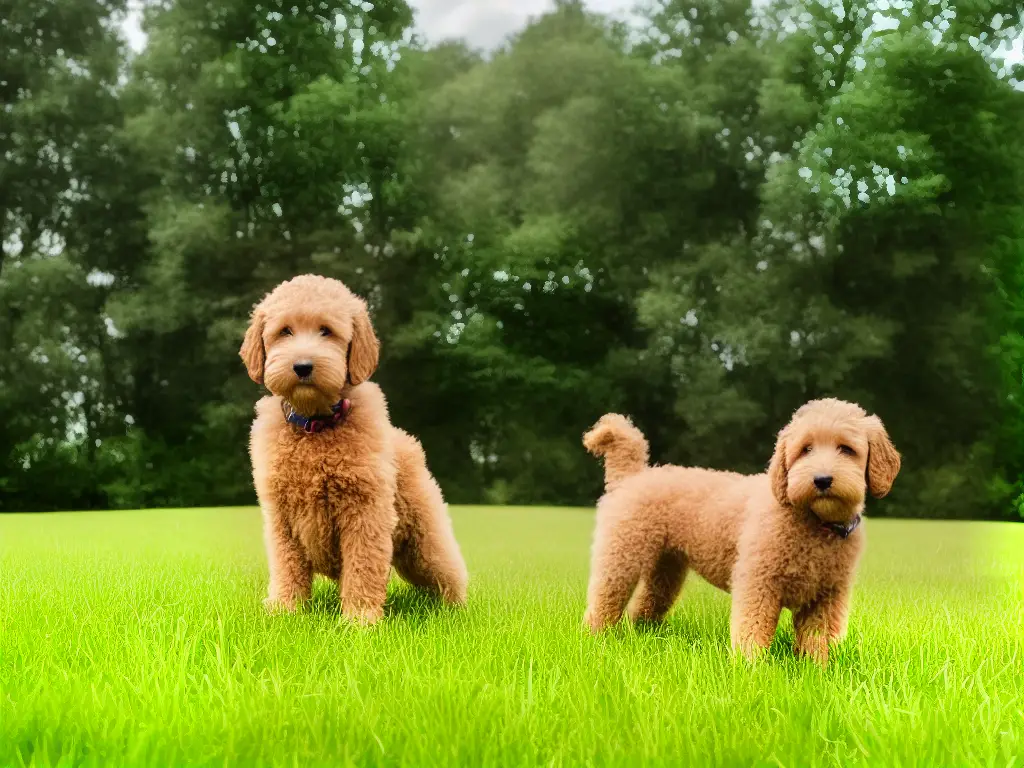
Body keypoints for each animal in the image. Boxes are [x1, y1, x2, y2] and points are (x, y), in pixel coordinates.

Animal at [239, 276, 468, 626]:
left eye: (326, 331)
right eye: (285, 331)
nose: (302, 366)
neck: (315, 426)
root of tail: (407, 441)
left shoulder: (365, 511)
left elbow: (363, 568)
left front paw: (359, 622)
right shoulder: (281, 518)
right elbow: (287, 567)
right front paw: (285, 611)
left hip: (425, 543)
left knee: (449, 573)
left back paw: (455, 614)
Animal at [581, 399, 901, 663]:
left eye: (847, 449)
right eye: (805, 449)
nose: (822, 480)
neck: (813, 522)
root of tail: (631, 476)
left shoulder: (826, 597)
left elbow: (816, 641)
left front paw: (815, 673)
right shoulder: (759, 582)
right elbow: (753, 630)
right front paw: (751, 669)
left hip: (666, 567)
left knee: (646, 605)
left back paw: (645, 635)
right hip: (622, 554)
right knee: (603, 600)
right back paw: (595, 639)